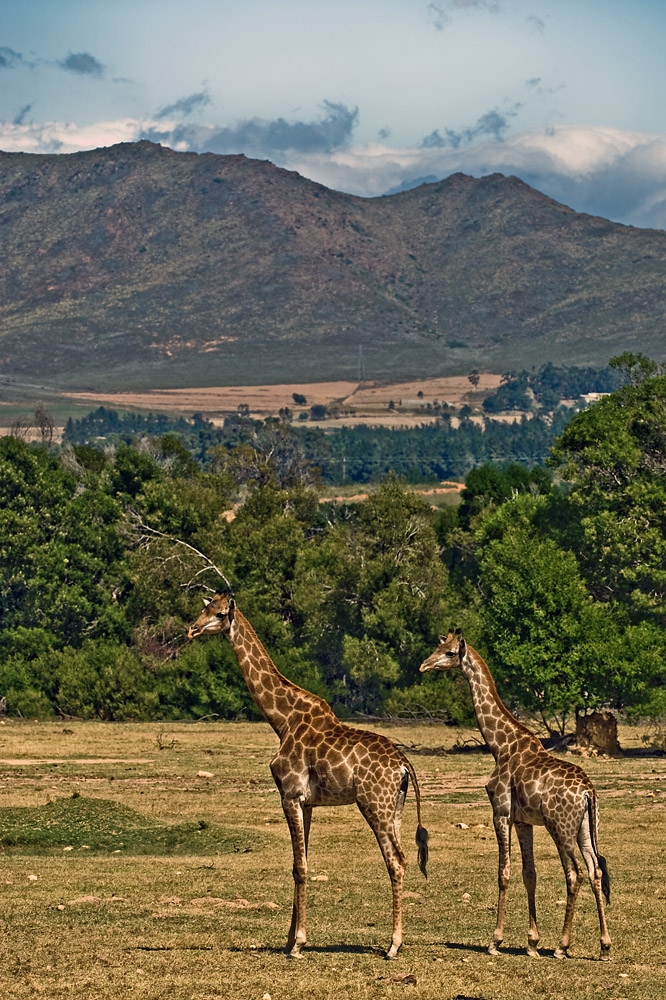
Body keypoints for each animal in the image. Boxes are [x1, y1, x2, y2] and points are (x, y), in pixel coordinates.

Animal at [187, 592, 428, 960]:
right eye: (204, 607)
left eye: (219, 613)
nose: (192, 629)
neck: (282, 719)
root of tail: (403, 764)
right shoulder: (308, 802)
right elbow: (301, 862)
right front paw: (290, 939)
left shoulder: (289, 794)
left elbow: (299, 866)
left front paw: (297, 944)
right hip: (395, 809)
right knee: (400, 858)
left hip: (374, 805)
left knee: (396, 861)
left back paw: (393, 945)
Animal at [418, 628, 608, 964]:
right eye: (438, 647)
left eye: (450, 652)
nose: (424, 666)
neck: (500, 745)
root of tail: (588, 791)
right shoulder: (523, 821)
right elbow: (529, 873)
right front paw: (531, 943)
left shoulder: (501, 812)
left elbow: (504, 872)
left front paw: (495, 941)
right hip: (586, 827)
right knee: (595, 870)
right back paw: (604, 946)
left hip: (561, 827)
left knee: (574, 874)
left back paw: (562, 946)